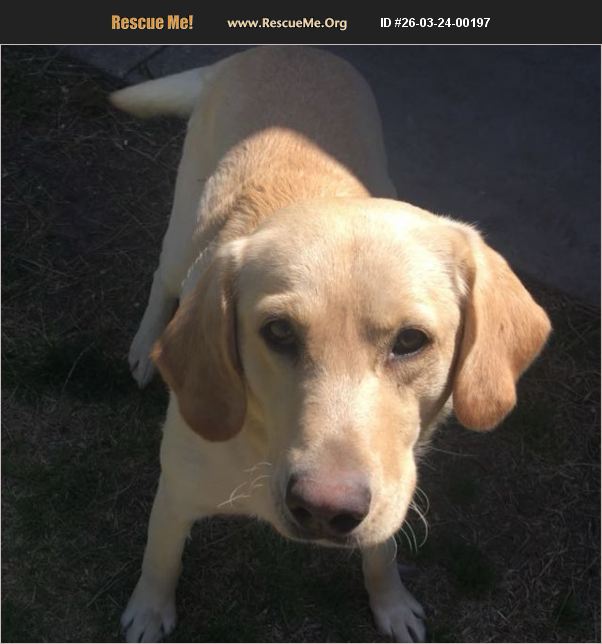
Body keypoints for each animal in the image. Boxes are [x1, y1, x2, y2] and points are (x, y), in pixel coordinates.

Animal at [111, 46, 551, 643]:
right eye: (278, 332)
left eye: (411, 341)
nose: (323, 509)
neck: (261, 444)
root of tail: (288, 46)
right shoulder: (176, 492)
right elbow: (161, 558)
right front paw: (149, 610)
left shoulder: (392, 492)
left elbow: (381, 555)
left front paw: (391, 602)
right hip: (185, 230)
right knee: (164, 278)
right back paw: (145, 344)